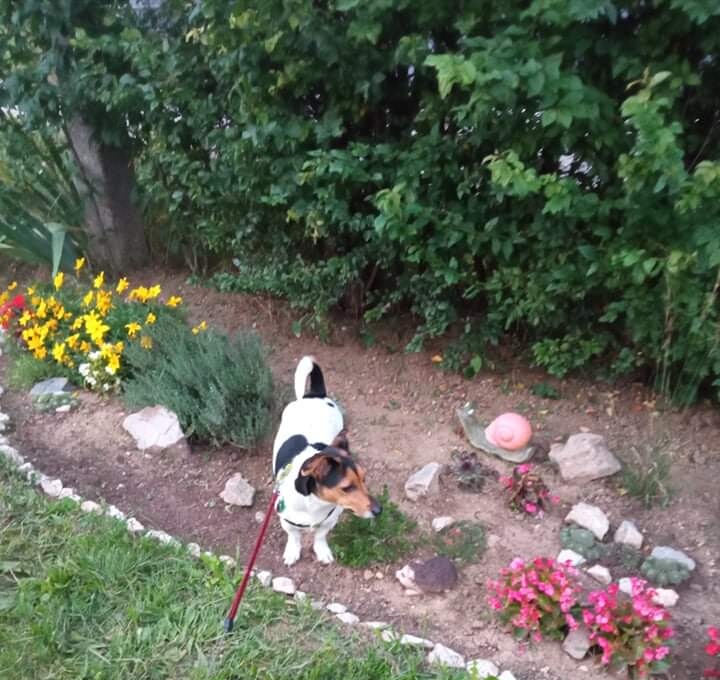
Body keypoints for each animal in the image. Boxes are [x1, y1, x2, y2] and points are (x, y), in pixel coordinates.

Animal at [272, 356, 381, 566]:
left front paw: (322, 551)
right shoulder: (286, 519)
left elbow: (320, 535)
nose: (379, 511)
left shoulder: (331, 519)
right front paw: (292, 551)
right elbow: (294, 535)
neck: (316, 503)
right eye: (347, 487)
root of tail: (315, 395)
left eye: (364, 479)